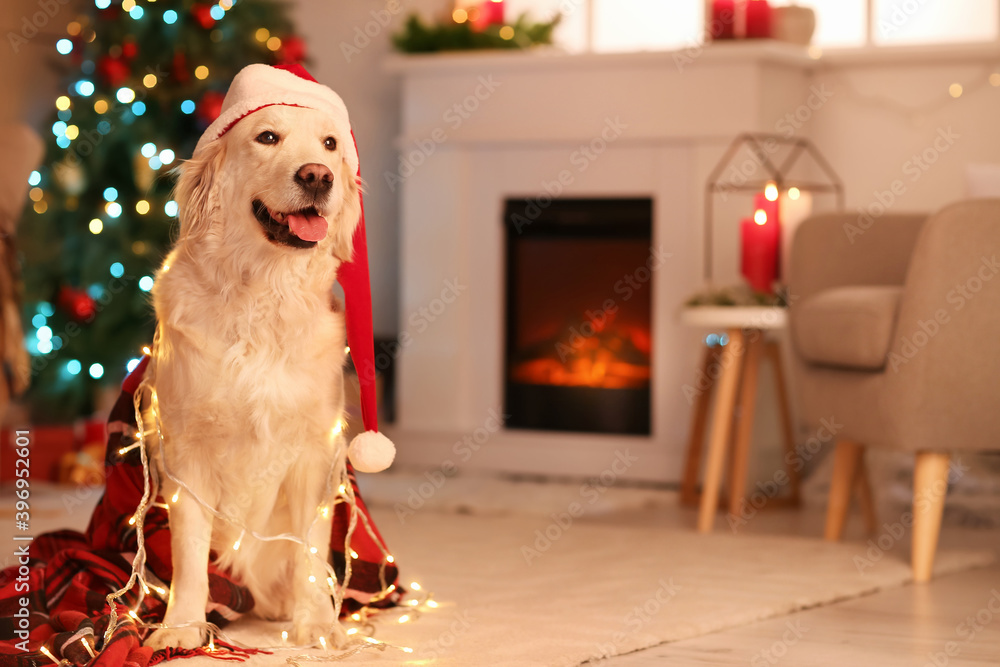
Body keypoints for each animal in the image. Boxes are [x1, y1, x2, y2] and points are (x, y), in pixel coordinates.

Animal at [142, 68, 390, 652]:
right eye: (267, 137)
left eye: (330, 144)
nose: (318, 176)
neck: (261, 298)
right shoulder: (186, 450)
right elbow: (189, 551)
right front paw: (181, 627)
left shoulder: (314, 451)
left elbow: (310, 547)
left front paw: (317, 624)